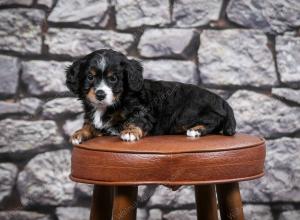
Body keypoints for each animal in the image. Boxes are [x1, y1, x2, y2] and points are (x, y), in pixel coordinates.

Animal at [66, 49, 237, 144]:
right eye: (90, 77)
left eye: (113, 78)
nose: (100, 94)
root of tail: (223, 102)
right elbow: (89, 124)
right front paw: (79, 133)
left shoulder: (143, 111)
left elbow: (135, 120)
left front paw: (130, 132)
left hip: (189, 112)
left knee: (214, 122)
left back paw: (196, 130)